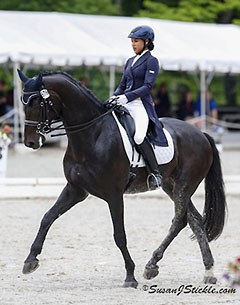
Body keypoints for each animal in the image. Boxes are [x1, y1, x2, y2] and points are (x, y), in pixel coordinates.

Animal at [17, 70, 227, 288]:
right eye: (24, 103)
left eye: (37, 103)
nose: (30, 142)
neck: (92, 135)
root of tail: (201, 134)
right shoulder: (76, 190)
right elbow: (47, 217)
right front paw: (30, 260)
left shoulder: (114, 194)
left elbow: (119, 235)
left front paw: (130, 276)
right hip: (171, 185)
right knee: (195, 220)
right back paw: (207, 270)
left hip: (184, 186)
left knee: (179, 220)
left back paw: (152, 265)